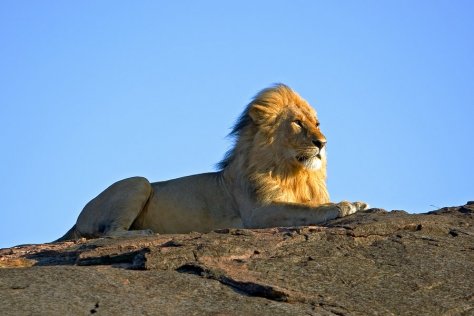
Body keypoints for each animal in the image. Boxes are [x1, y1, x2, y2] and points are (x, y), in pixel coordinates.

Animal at [54, 82, 366, 241]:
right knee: (109, 233)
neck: (294, 172)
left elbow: (307, 205)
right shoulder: (258, 213)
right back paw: (142, 233)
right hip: (138, 182)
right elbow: (304, 210)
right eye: (298, 124)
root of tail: (76, 221)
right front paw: (340, 206)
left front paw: (356, 202)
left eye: (317, 123)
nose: (322, 143)